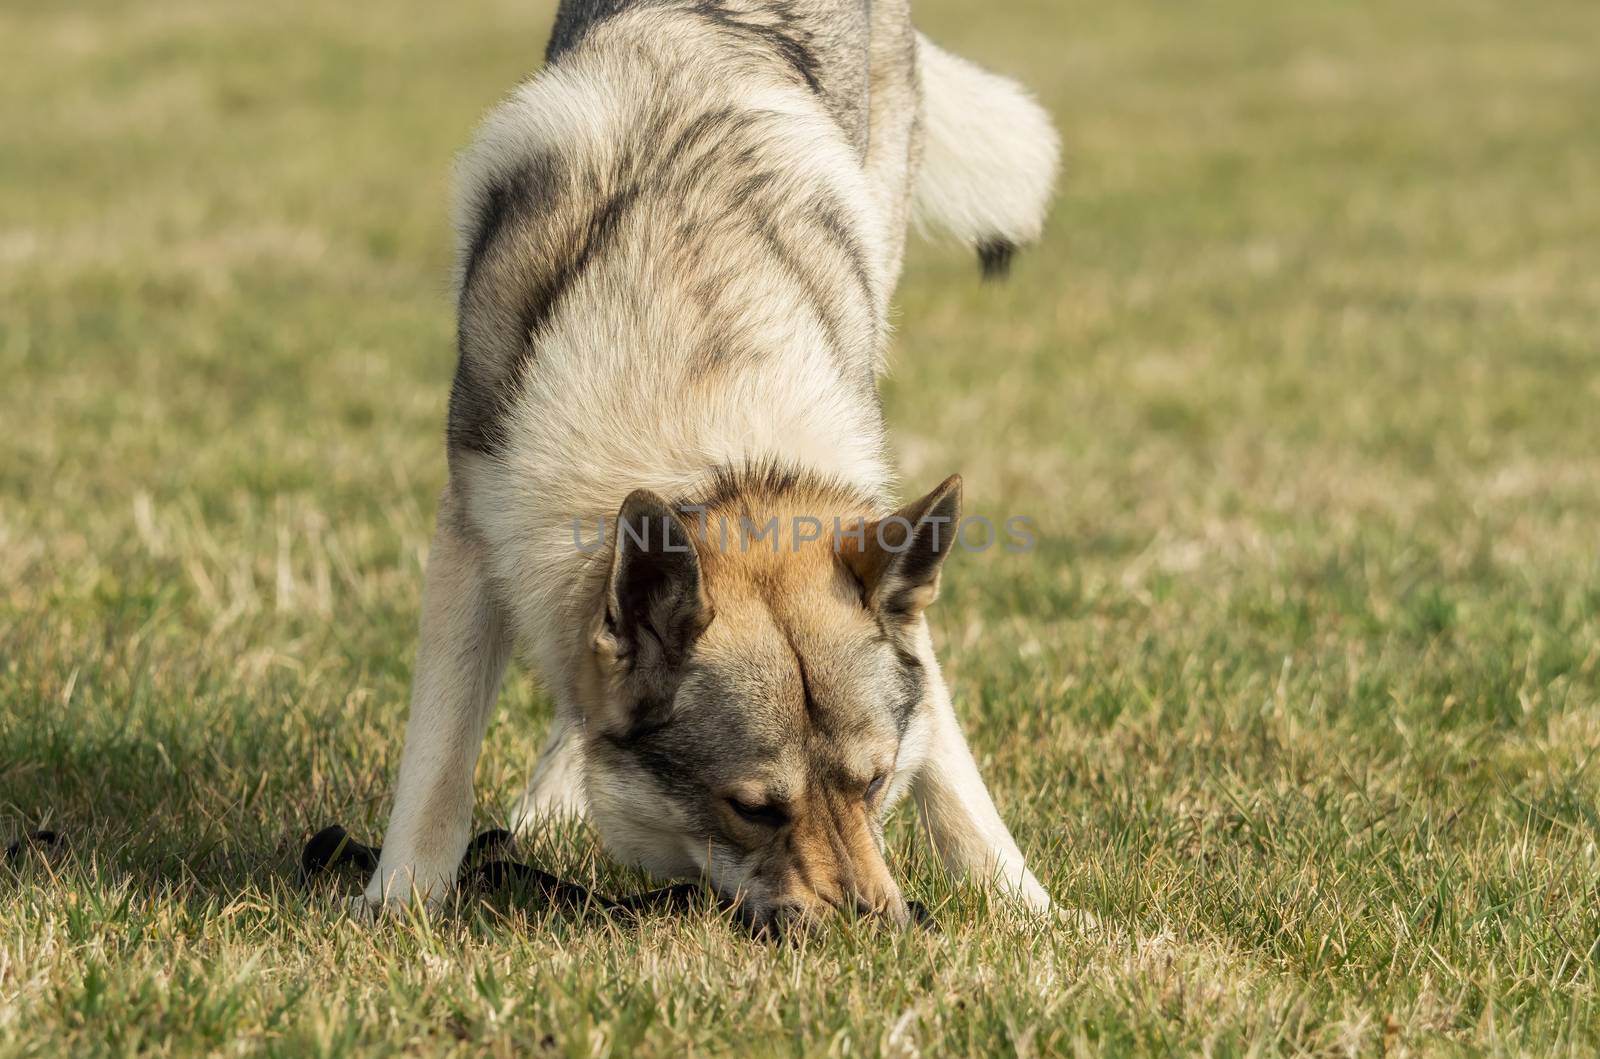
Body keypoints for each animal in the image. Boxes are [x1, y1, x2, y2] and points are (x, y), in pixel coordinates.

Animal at [366, 0, 1062, 927]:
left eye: (875, 783)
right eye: (754, 808)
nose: (874, 930)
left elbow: (954, 770)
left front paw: (1035, 914)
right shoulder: (473, 529)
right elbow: (439, 764)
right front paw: (395, 907)